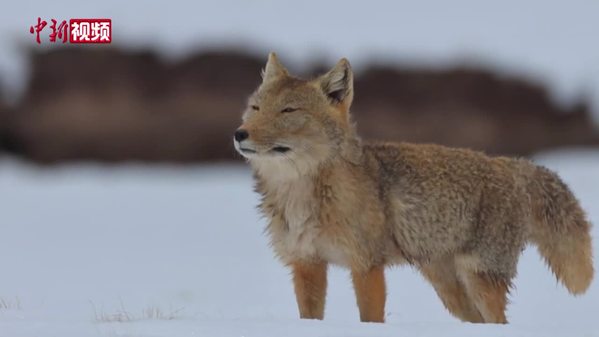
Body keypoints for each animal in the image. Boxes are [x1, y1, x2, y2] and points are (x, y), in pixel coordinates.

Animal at [232, 52, 592, 322]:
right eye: (256, 108)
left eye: (288, 110)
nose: (239, 133)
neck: (301, 195)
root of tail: (511, 165)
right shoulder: (306, 264)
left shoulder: (367, 266)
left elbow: (370, 318)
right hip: (451, 291)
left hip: (479, 282)